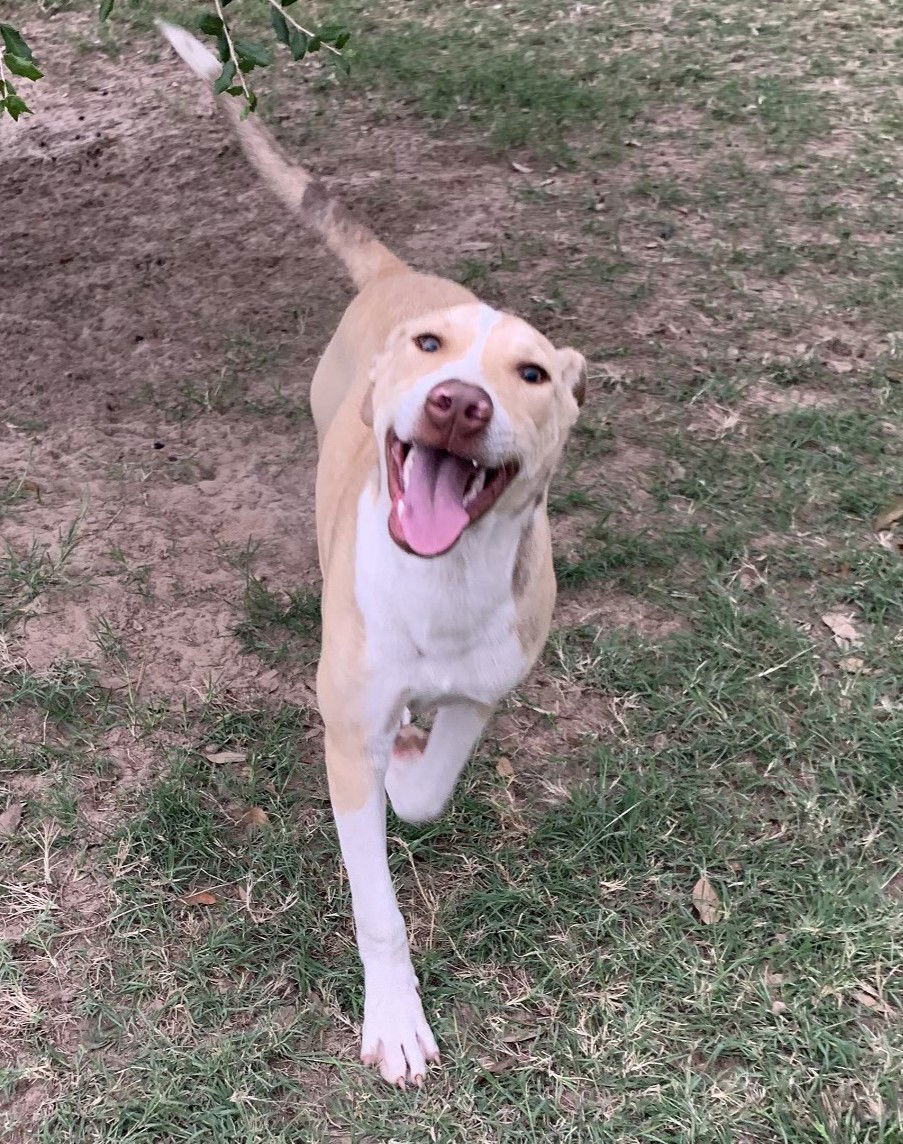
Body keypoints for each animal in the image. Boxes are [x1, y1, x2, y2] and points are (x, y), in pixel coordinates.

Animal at [161, 22, 583, 1084]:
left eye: (530, 374)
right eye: (432, 350)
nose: (458, 401)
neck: (443, 577)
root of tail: (397, 273)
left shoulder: (485, 687)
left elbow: (429, 787)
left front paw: (413, 757)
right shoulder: (342, 736)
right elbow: (378, 905)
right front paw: (394, 1019)